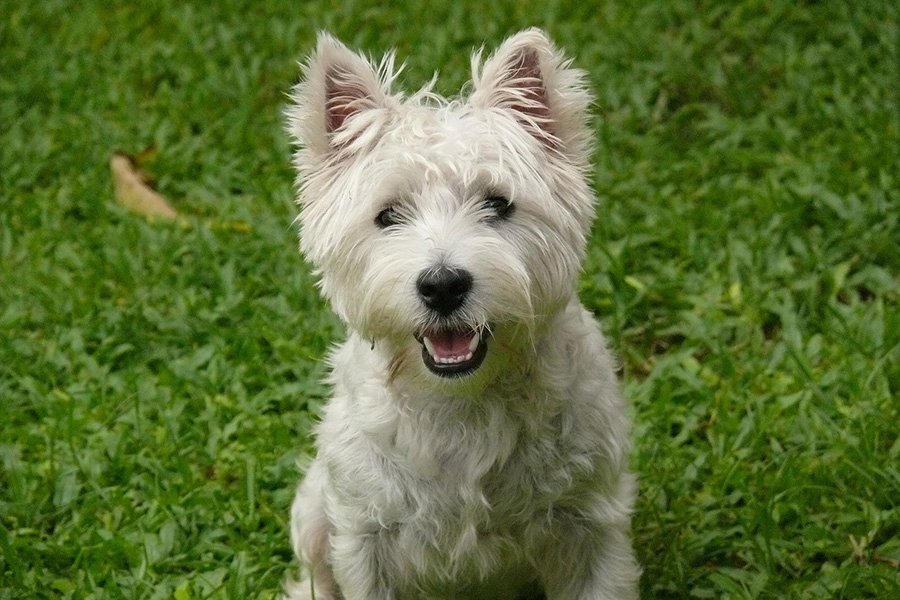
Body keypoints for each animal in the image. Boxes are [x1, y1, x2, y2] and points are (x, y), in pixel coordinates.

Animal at [282, 29, 640, 600]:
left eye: (498, 204)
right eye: (388, 215)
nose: (442, 285)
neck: (461, 405)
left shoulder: (591, 526)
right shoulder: (365, 536)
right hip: (317, 511)